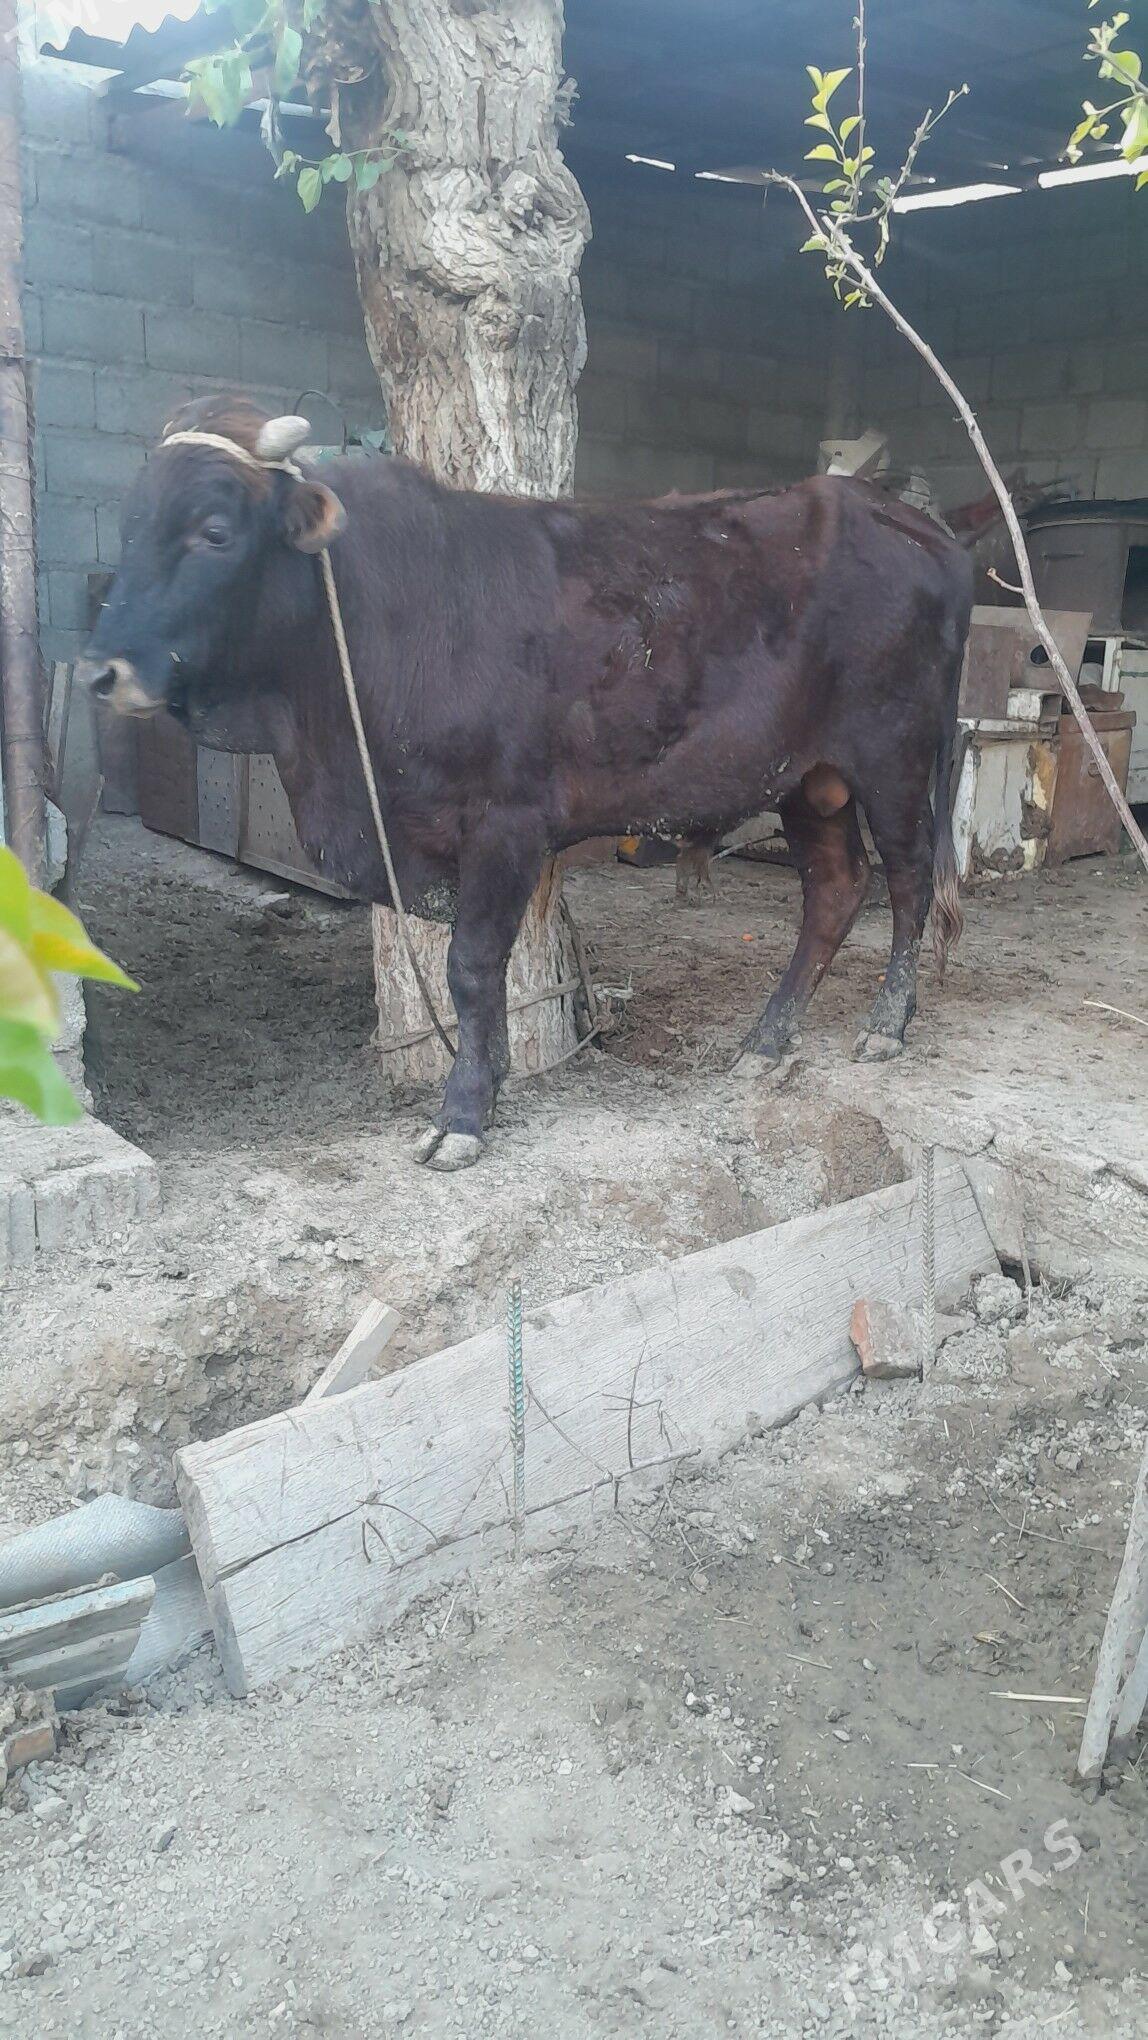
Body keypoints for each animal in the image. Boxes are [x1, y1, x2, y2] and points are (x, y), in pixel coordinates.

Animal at [78, 396, 972, 1172]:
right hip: (808, 778)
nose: (99, 672)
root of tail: (920, 527)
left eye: (214, 530)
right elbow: (477, 975)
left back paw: (886, 1025)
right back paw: (765, 1041)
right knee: (835, 890)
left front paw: (464, 1113)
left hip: (892, 755)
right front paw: (492, 1084)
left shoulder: (503, 822)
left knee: (907, 881)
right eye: (127, 526)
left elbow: (472, 967)